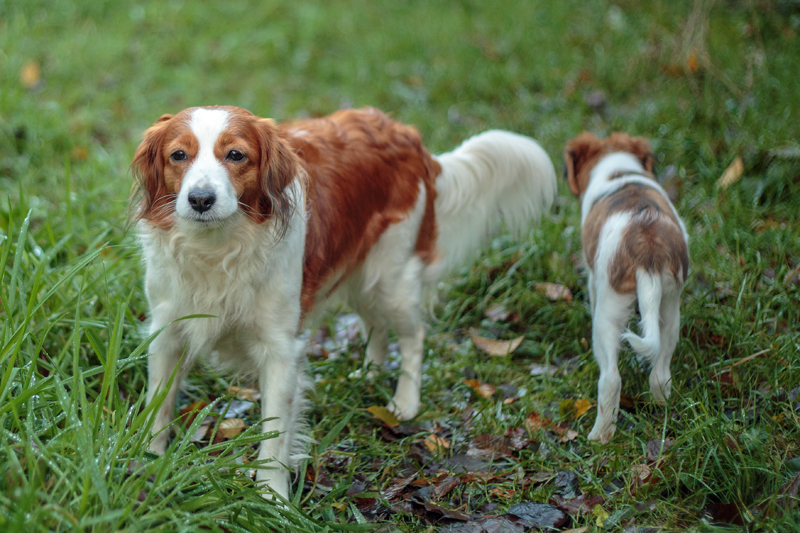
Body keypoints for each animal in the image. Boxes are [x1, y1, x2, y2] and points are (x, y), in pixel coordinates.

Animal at [133, 106, 556, 496]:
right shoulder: (167, 331)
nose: (200, 199)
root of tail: (405, 133)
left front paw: (273, 499)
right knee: (375, 325)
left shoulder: (279, 350)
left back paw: (405, 401)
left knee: (413, 335)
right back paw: (368, 372)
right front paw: (147, 462)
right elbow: (158, 404)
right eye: (178, 155)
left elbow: (275, 434)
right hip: (361, 274)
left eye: (236, 155)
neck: (217, 248)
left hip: (391, 280)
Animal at [564, 133, 688, 444]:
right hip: (670, 306)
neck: (617, 165)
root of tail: (648, 251)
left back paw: (599, 436)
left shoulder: (593, 280)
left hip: (608, 314)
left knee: (610, 378)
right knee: (660, 373)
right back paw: (661, 408)